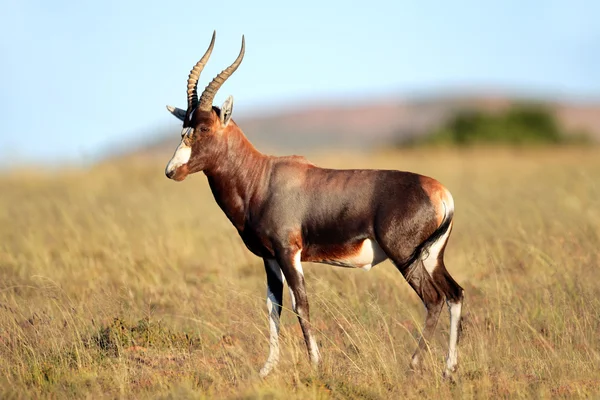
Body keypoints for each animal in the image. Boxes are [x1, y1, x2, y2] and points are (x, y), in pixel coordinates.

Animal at [163, 32, 464, 378]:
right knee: (455, 294)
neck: (262, 177)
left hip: (405, 257)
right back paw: (449, 369)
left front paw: (316, 364)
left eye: (204, 128)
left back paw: (412, 365)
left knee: (434, 299)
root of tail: (440, 192)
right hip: (432, 256)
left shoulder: (289, 252)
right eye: (183, 126)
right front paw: (266, 369)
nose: (172, 171)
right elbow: (273, 307)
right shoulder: (270, 258)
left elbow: (301, 303)